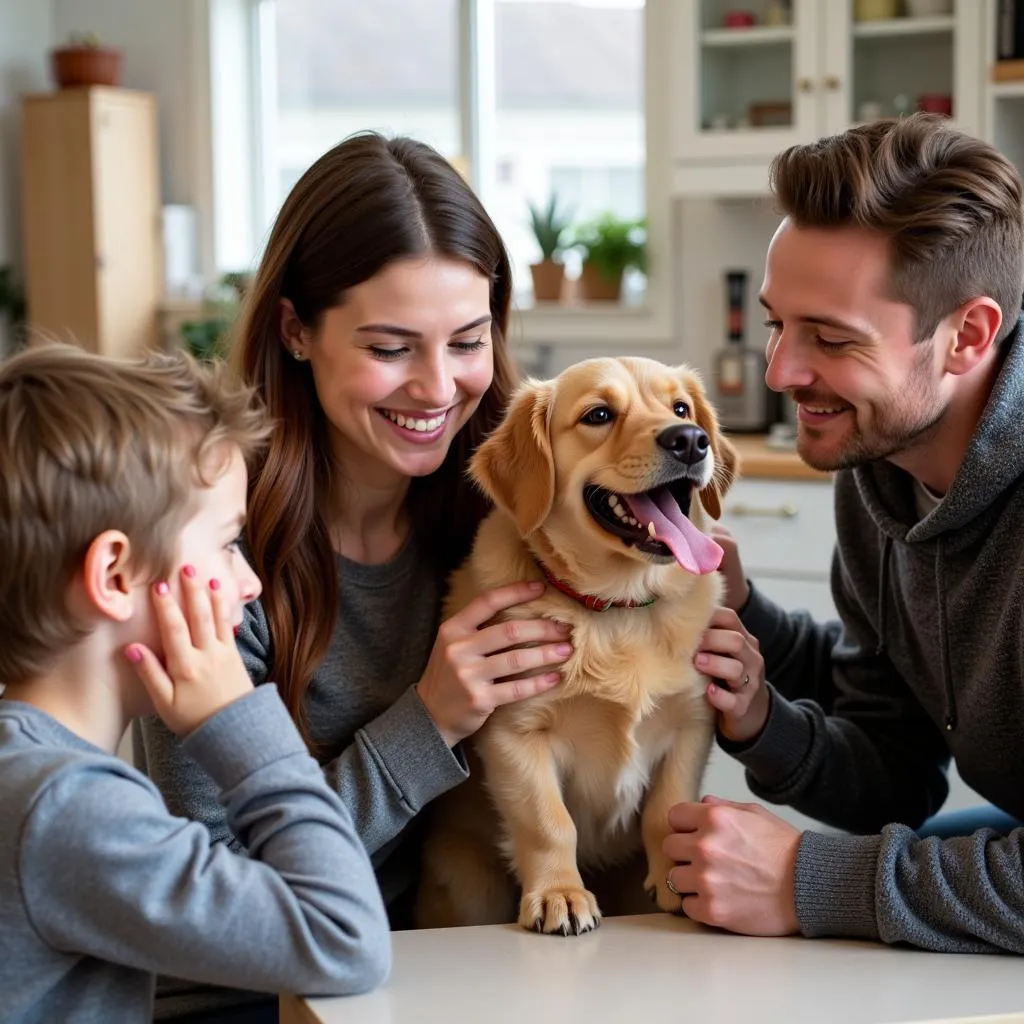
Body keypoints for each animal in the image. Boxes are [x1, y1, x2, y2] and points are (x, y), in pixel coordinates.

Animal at [413, 358, 737, 937]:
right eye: (599, 415)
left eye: (681, 408)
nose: (690, 440)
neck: (617, 609)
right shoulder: (516, 733)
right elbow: (548, 822)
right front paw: (559, 894)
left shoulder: (690, 724)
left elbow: (668, 808)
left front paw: (679, 881)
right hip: (468, 881)